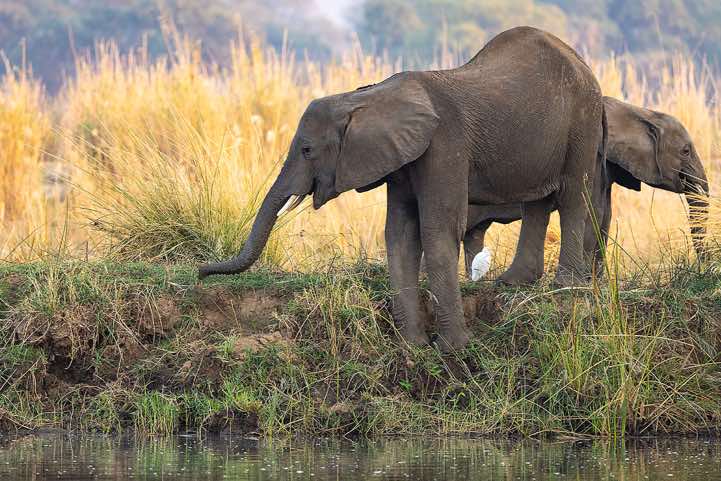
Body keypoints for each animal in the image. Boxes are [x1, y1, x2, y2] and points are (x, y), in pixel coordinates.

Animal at [198, 27, 604, 352]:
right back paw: (515, 282)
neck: (368, 96)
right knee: (537, 200)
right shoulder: (400, 160)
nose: (201, 273)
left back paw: (567, 287)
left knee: (572, 195)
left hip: (582, 119)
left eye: (307, 150)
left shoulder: (444, 145)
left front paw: (454, 350)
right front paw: (414, 346)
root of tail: (579, 59)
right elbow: (401, 235)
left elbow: (438, 231)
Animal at [461, 96, 710, 280]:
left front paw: (596, 280)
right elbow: (595, 210)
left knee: (474, 234)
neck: (639, 113)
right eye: (685, 151)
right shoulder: (596, 157)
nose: (704, 269)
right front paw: (589, 279)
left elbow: (605, 214)